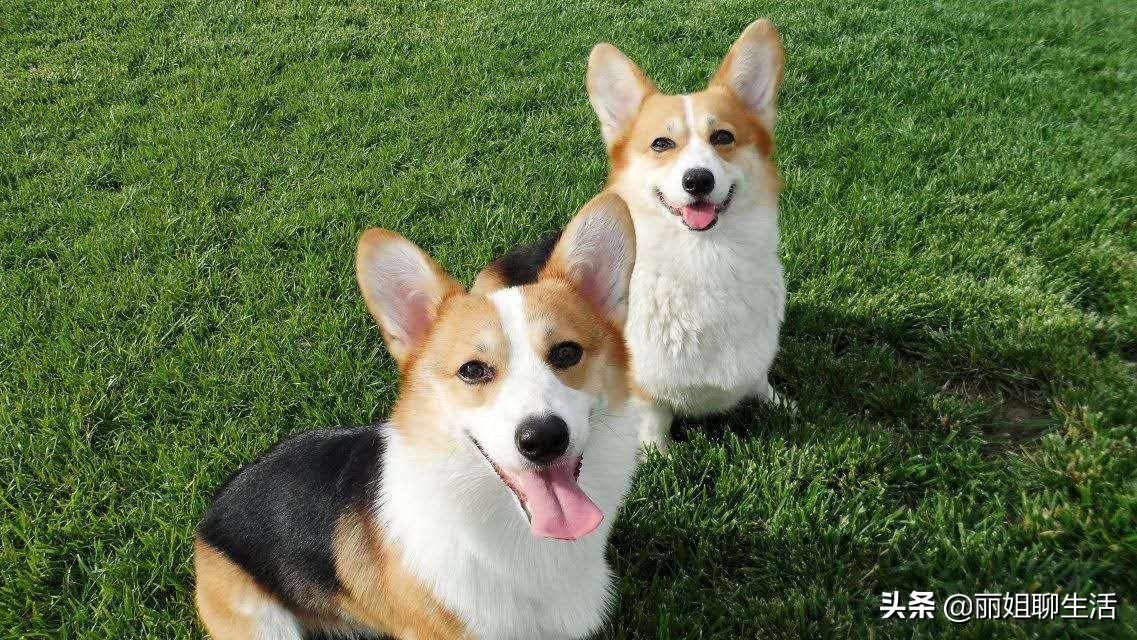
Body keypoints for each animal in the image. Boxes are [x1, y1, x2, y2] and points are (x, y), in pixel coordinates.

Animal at [475, 21, 786, 450]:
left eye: (723, 137)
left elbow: (759, 380)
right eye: (661, 144)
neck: (704, 258)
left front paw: (780, 404)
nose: (698, 180)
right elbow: (654, 418)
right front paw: (659, 454)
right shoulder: (642, 388)